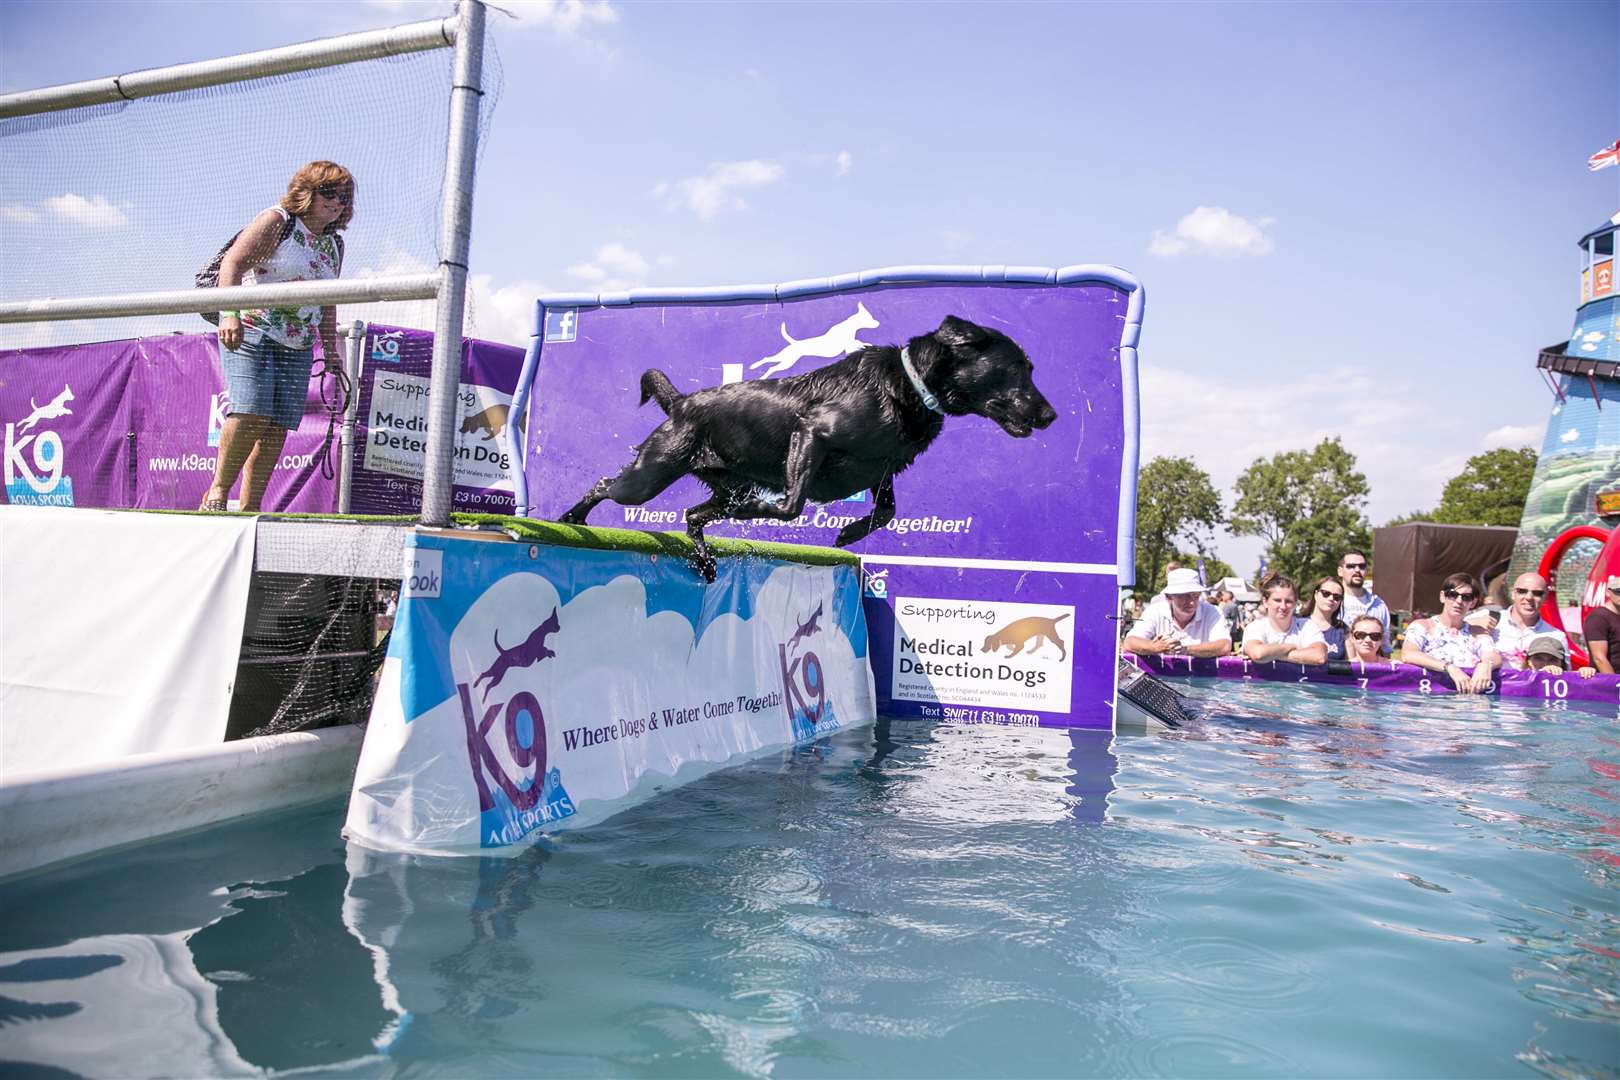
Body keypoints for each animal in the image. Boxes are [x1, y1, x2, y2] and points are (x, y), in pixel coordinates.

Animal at [560, 317, 1062, 579]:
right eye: (1017, 368)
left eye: (1032, 368)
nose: (1050, 416)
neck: (911, 387)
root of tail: (682, 401)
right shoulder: (812, 433)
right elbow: (791, 505)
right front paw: (773, 514)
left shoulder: (883, 471)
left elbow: (887, 511)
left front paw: (849, 535)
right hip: (650, 475)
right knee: (608, 484)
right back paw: (571, 519)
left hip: (728, 485)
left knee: (693, 515)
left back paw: (704, 556)